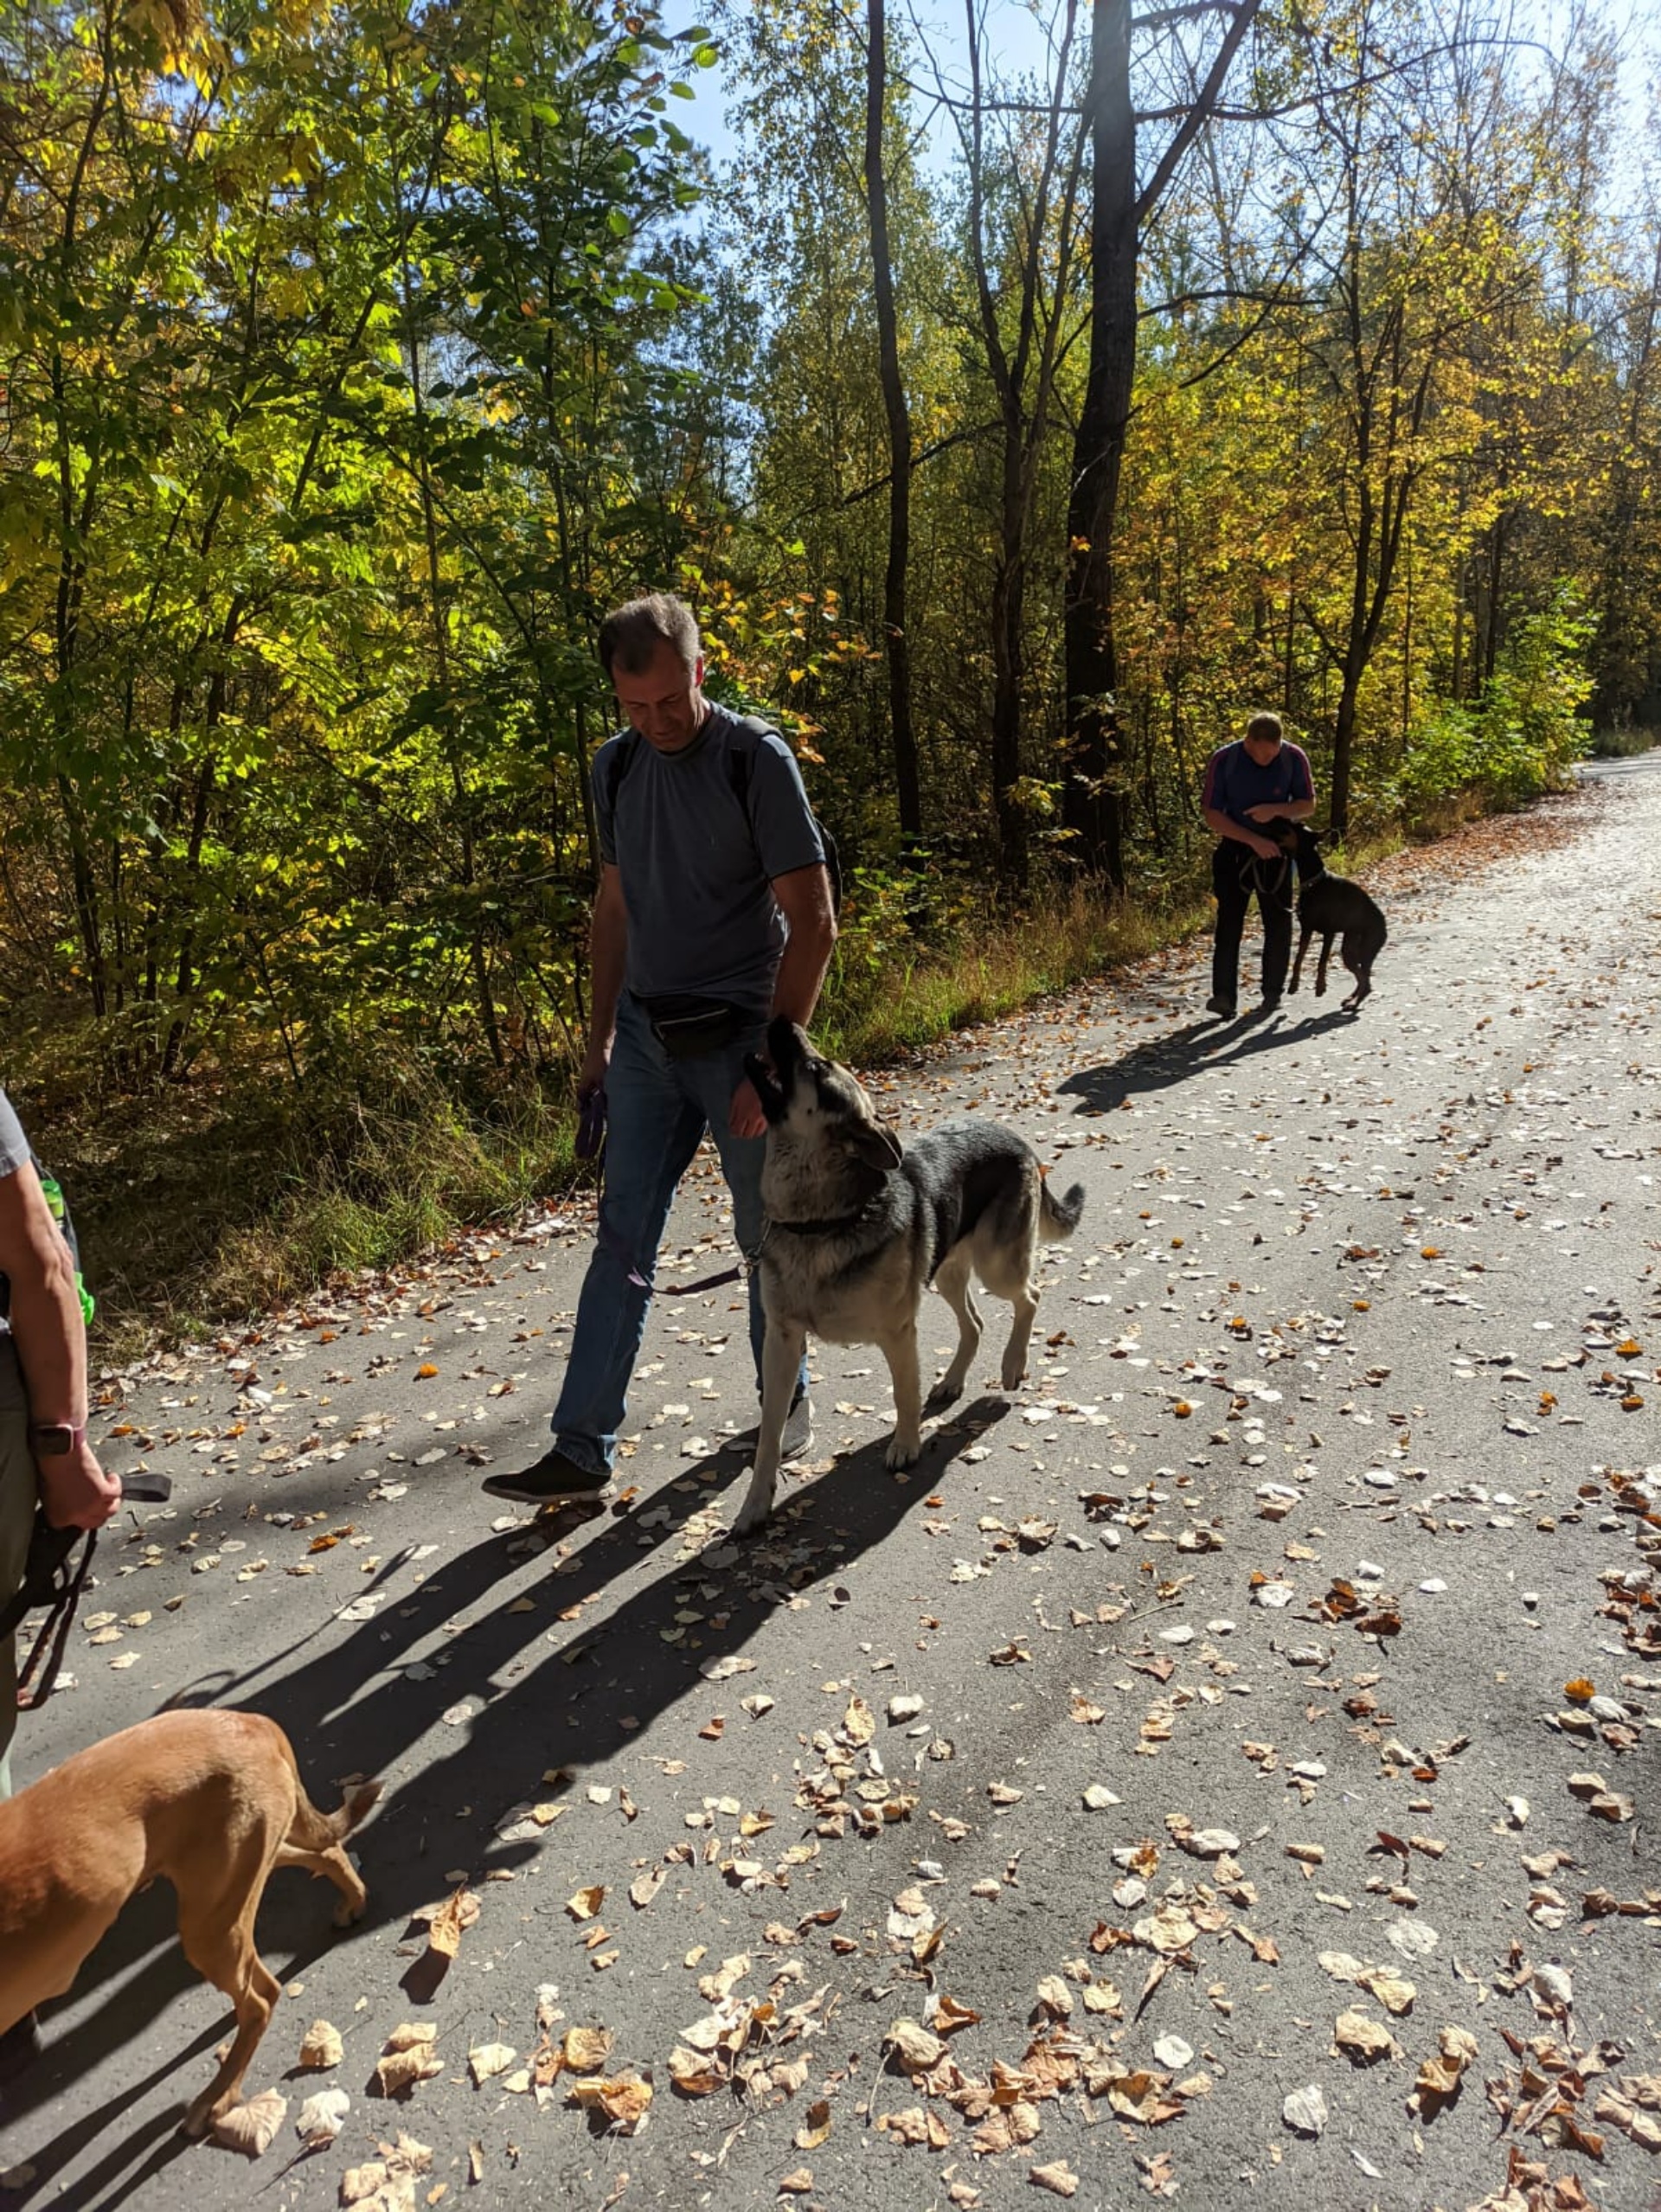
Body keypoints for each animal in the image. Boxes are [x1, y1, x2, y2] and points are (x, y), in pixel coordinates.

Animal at [0, 1708, 380, 2123]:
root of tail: (252, 1721)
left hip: (210, 1921)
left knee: (260, 2001)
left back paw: (218, 2096)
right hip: (237, 1872)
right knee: (324, 1852)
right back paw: (353, 1900)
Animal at [734, 1022, 1083, 1530]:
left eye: (816, 1067)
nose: (782, 1021)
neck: (820, 1222)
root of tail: (1013, 1137)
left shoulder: (897, 1333)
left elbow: (903, 1393)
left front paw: (906, 1444)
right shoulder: (781, 1342)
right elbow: (769, 1439)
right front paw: (756, 1504)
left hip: (997, 1266)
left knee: (1030, 1296)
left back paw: (1012, 1363)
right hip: (947, 1275)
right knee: (975, 1324)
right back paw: (953, 1380)